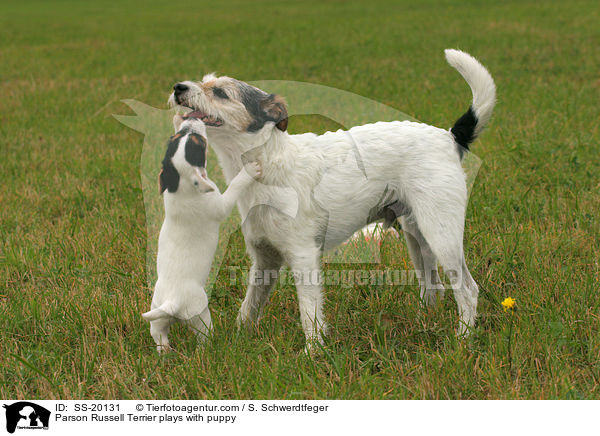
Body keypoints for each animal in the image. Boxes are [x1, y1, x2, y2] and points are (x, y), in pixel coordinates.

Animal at [143, 114, 262, 352]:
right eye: (199, 142)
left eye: (177, 137)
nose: (190, 117)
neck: (180, 186)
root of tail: (172, 301)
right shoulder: (221, 204)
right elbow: (235, 186)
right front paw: (249, 171)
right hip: (200, 317)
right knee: (204, 337)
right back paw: (208, 349)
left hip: (157, 317)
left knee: (159, 336)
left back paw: (165, 352)